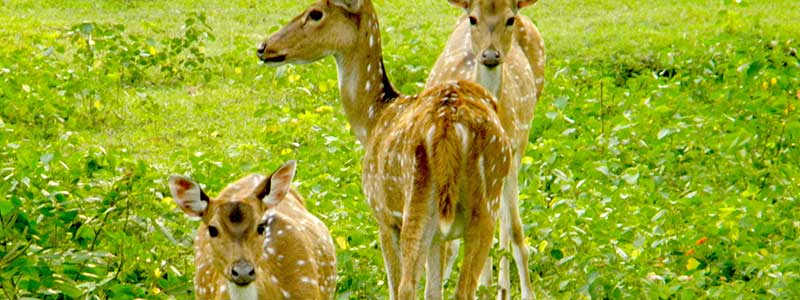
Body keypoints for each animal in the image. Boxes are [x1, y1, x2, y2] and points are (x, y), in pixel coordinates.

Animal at [260, 0, 516, 298]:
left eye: (315, 13)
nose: (264, 47)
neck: (373, 121)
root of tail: (448, 128)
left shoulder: (383, 215)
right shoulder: (439, 238)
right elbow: (434, 290)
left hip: (415, 201)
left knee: (406, 287)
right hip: (486, 205)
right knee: (463, 288)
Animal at [424, 1, 552, 298]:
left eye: (509, 19)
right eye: (474, 18)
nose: (491, 54)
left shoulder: (512, 151)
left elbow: (515, 230)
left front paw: (528, 293)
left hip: (522, 139)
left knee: (503, 222)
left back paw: (501, 287)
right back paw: (488, 283)